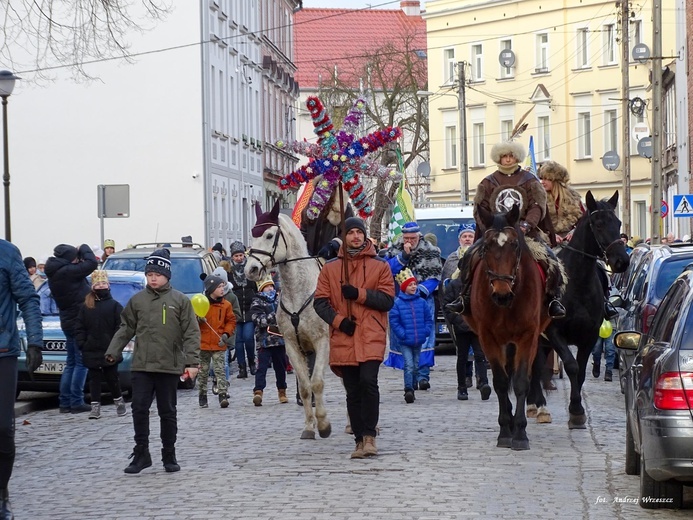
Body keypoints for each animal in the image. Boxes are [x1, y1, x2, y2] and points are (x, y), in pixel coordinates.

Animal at [243, 201, 332, 440]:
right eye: (252, 235)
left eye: (269, 235)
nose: (250, 269)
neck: (299, 292)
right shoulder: (293, 346)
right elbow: (305, 386)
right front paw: (309, 426)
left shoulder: (322, 341)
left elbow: (317, 383)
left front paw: (323, 424)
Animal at [464, 205, 552, 448]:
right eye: (486, 246)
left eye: (514, 244)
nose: (501, 294)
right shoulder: (488, 338)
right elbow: (501, 382)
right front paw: (505, 430)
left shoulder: (527, 336)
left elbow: (521, 381)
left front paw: (520, 433)